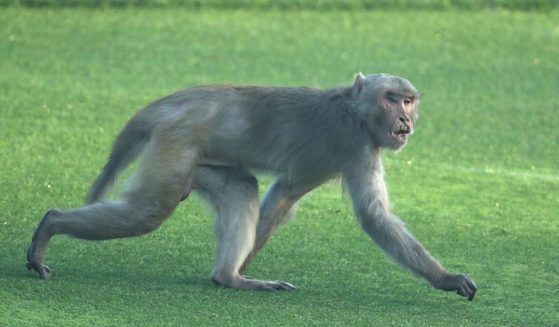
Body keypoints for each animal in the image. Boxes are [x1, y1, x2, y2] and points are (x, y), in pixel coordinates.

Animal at [25, 73, 476, 302]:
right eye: (392, 98)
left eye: (409, 100)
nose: (406, 120)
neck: (356, 110)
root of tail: (171, 103)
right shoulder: (357, 147)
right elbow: (373, 217)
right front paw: (446, 278)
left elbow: (281, 198)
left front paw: (241, 267)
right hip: (175, 144)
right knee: (147, 212)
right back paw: (50, 223)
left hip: (197, 160)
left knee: (240, 185)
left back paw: (228, 276)